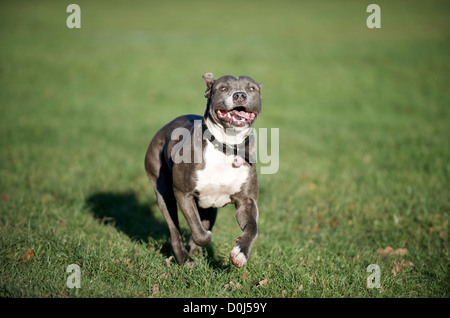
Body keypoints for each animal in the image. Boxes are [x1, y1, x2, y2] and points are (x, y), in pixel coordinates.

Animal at [146, 73, 262, 268]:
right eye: (224, 88)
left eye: (251, 88)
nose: (240, 95)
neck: (227, 146)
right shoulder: (183, 194)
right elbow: (198, 231)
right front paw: (203, 239)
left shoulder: (246, 201)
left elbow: (252, 228)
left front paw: (240, 253)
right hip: (164, 194)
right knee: (175, 230)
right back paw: (186, 260)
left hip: (210, 209)